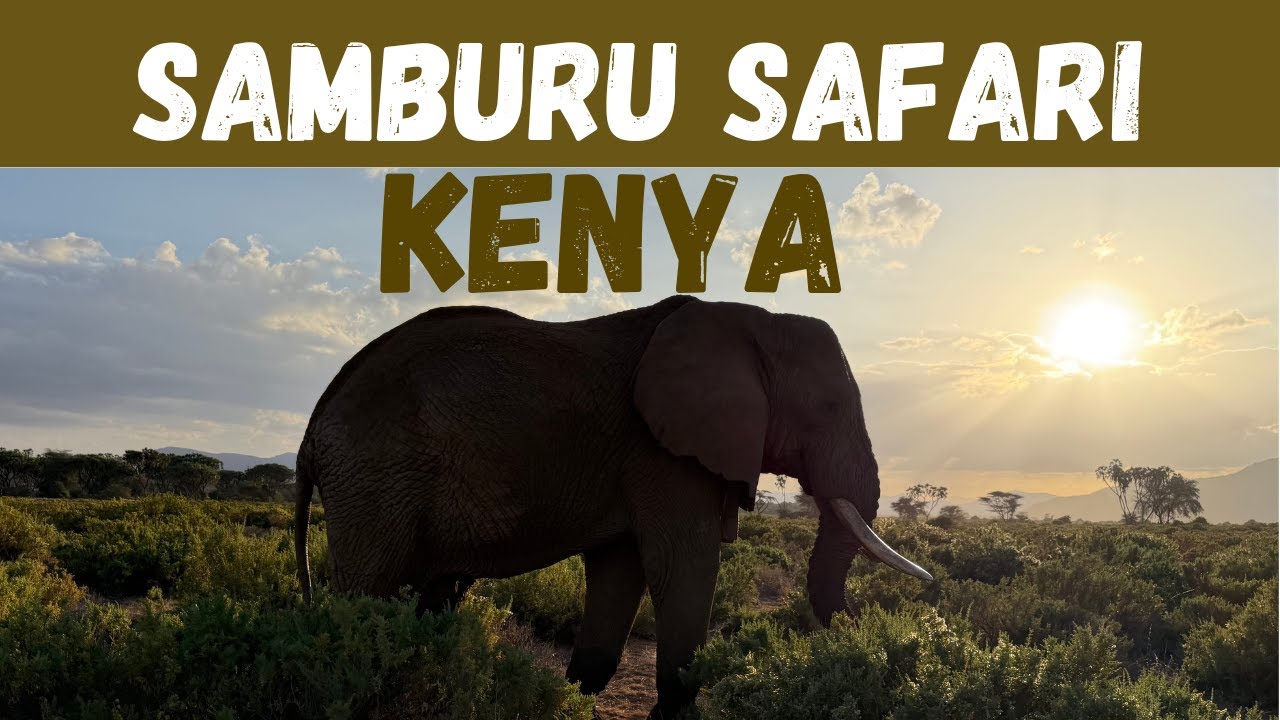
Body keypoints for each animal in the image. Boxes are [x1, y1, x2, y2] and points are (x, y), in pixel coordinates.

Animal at [293, 295, 931, 718]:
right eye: (828, 407)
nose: (884, 633)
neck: (753, 321)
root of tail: (314, 423)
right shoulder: (663, 454)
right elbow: (683, 565)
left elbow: (621, 572)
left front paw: (570, 700)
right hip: (376, 479)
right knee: (369, 597)